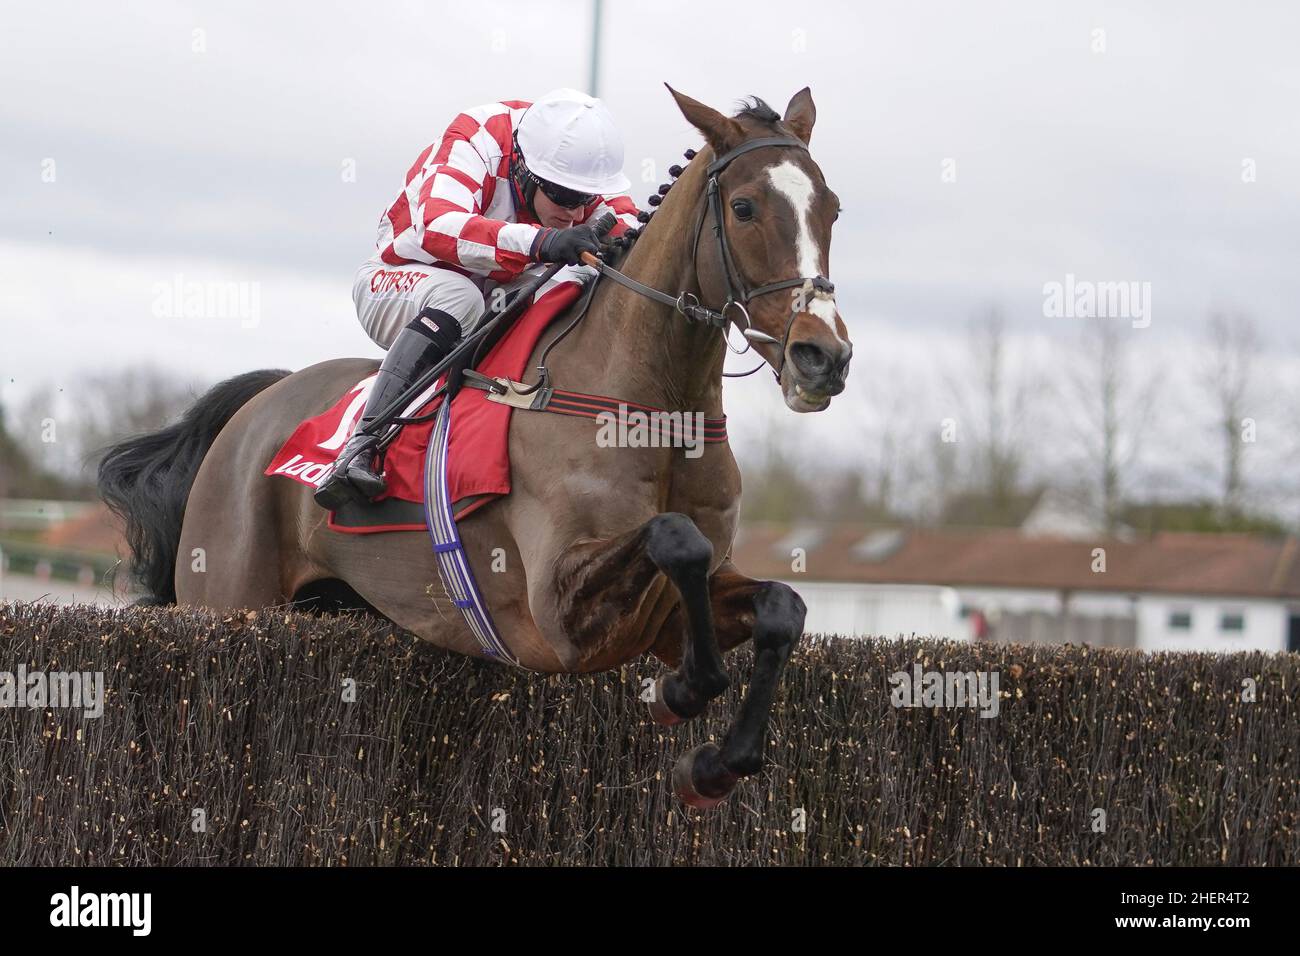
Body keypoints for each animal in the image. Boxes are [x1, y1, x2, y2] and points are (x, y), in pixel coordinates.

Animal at [101, 87, 852, 806]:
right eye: (746, 207)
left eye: (833, 209)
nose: (823, 356)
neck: (649, 410)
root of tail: (257, 406)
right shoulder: (560, 615)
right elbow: (676, 539)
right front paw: (685, 689)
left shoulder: (666, 614)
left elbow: (783, 607)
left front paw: (718, 761)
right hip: (231, 599)